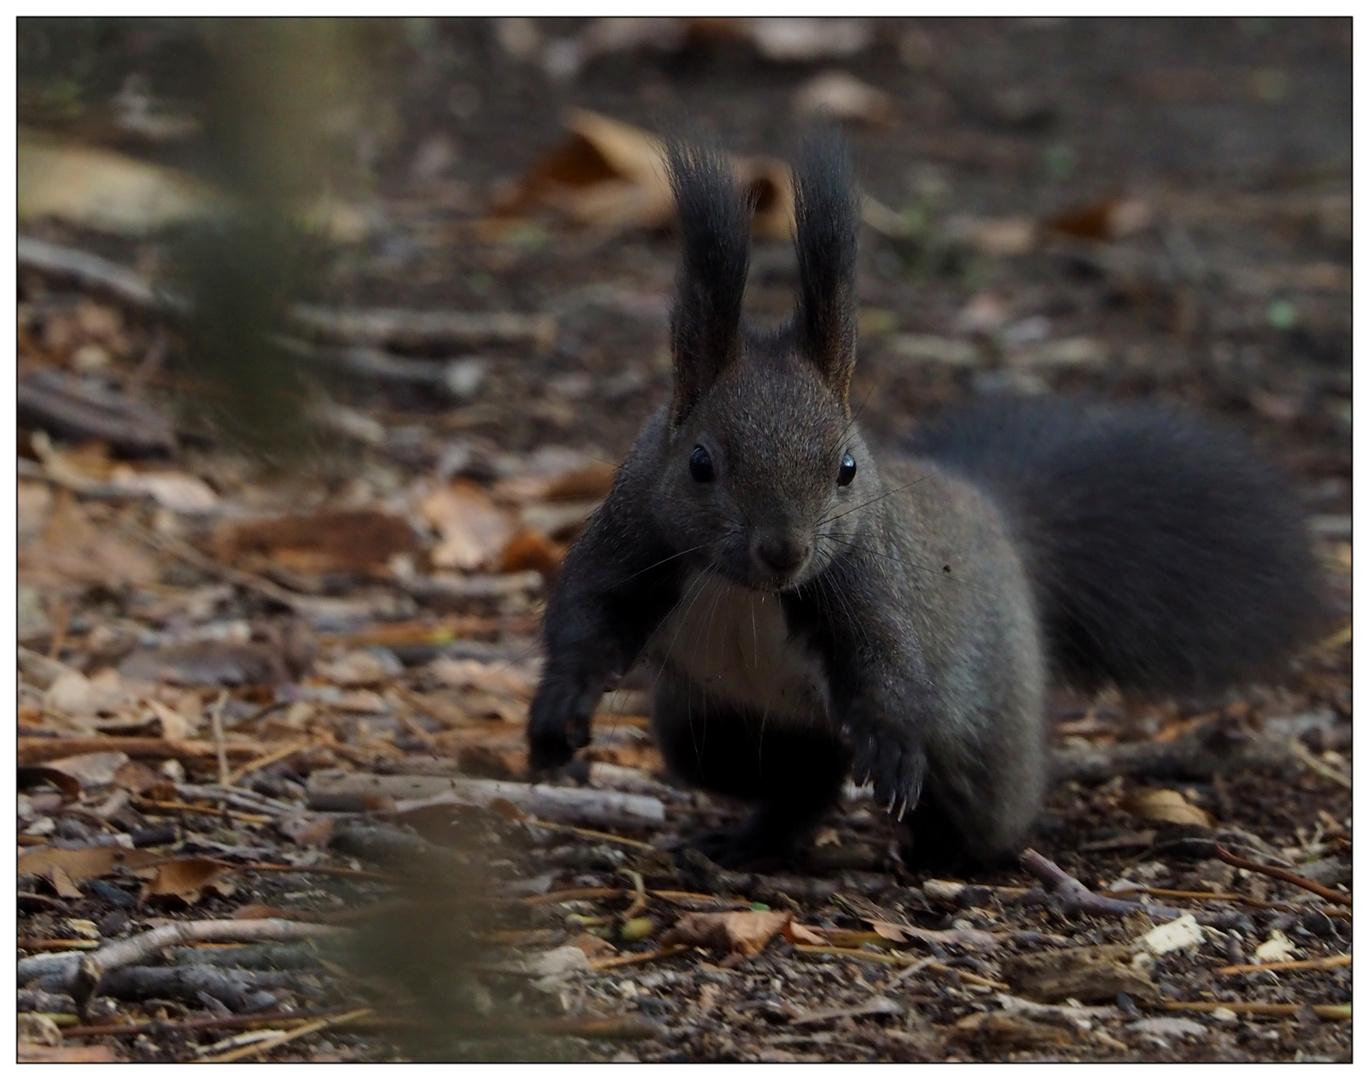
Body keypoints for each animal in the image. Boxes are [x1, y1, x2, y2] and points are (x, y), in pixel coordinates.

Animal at [525, 132, 1325, 870]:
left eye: (847, 468)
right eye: (698, 463)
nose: (784, 552)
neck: (744, 591)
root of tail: (995, 513)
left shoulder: (866, 580)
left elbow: (888, 661)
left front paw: (892, 747)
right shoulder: (633, 536)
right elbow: (586, 617)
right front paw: (558, 713)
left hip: (980, 729)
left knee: (972, 801)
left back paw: (956, 855)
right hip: (714, 729)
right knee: (796, 783)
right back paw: (752, 840)